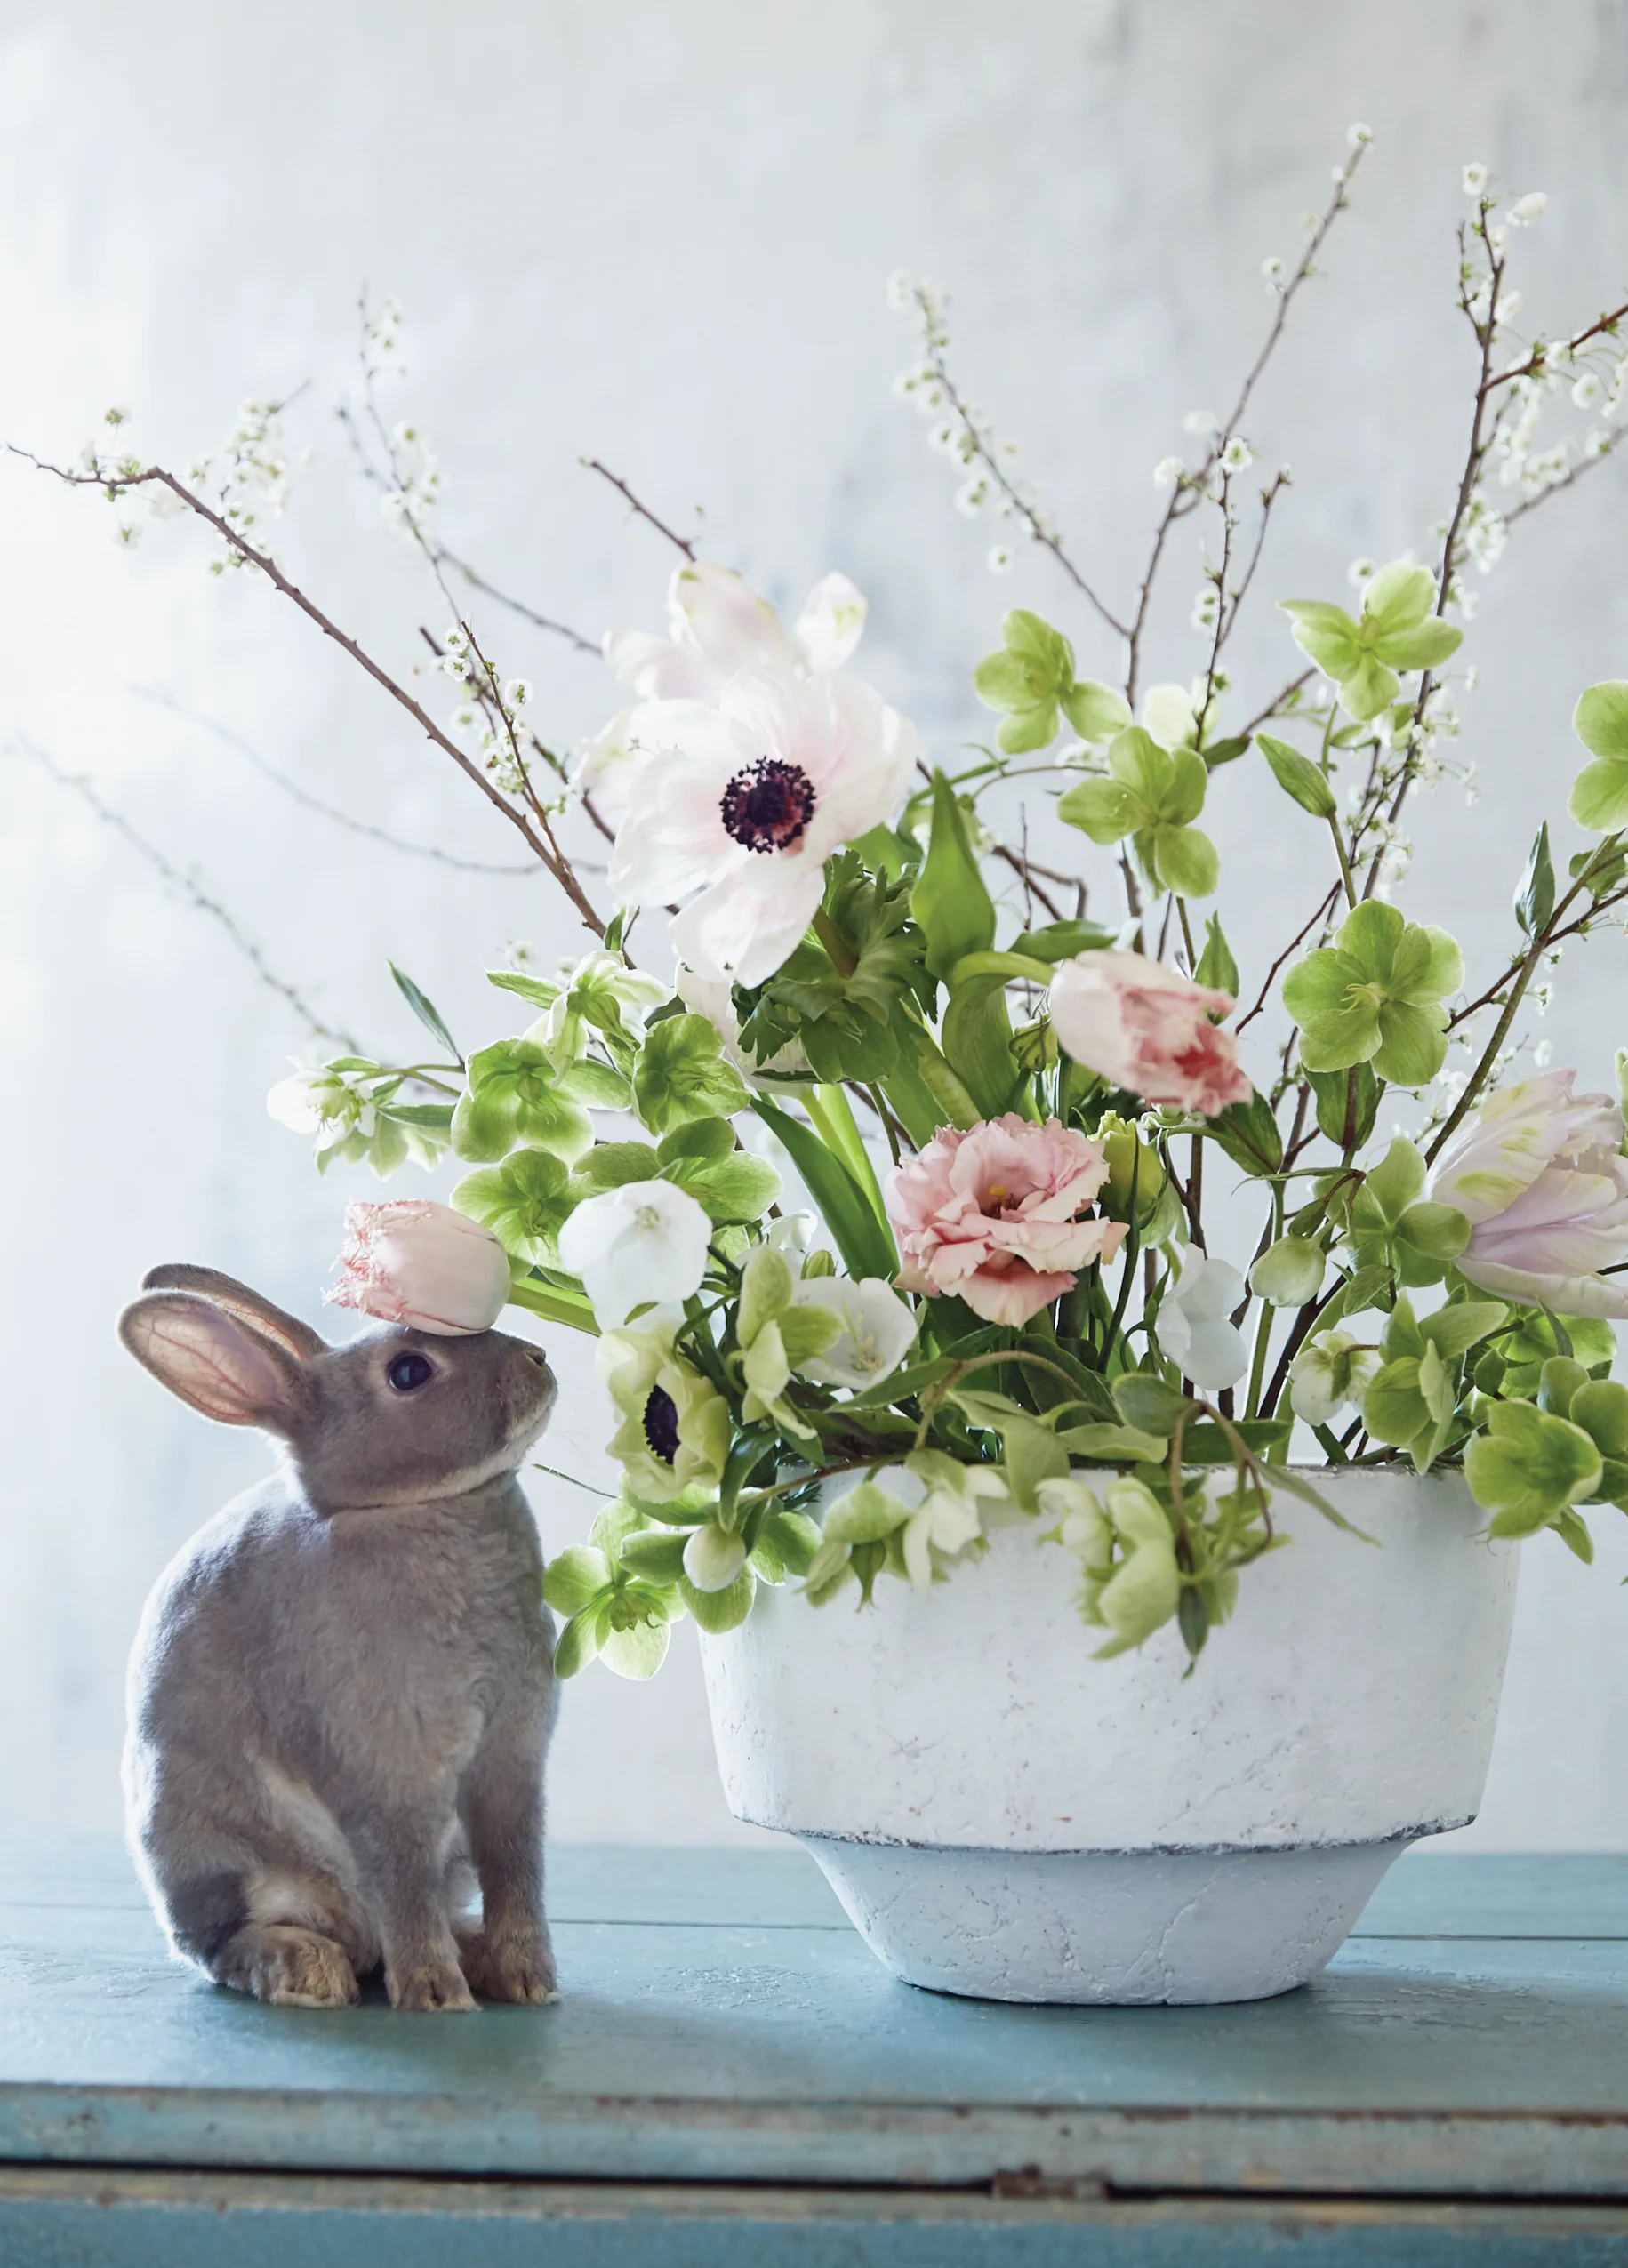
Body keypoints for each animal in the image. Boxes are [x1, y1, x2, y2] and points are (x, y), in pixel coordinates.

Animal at [116, 1261, 560, 2013]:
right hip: (228, 1860)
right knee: (227, 1944)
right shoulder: (384, 1771)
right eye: (409, 1371)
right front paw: (437, 1995)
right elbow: (403, 1875)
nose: (539, 1357)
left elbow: (516, 1870)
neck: (407, 1506)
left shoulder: (511, 1762)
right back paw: (307, 1970)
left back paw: (470, 1956)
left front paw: (530, 1981)